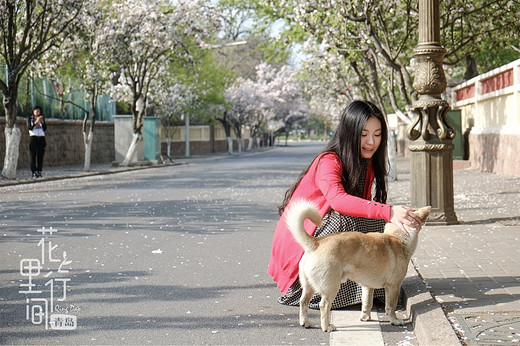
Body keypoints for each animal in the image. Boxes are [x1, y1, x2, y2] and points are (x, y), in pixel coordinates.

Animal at [284, 200, 430, 332]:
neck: (396, 237)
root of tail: (315, 243)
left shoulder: (367, 286)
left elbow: (367, 303)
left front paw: (365, 317)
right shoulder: (393, 286)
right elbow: (391, 306)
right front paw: (394, 320)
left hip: (308, 286)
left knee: (303, 301)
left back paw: (305, 323)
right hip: (331, 287)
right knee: (324, 305)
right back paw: (327, 327)